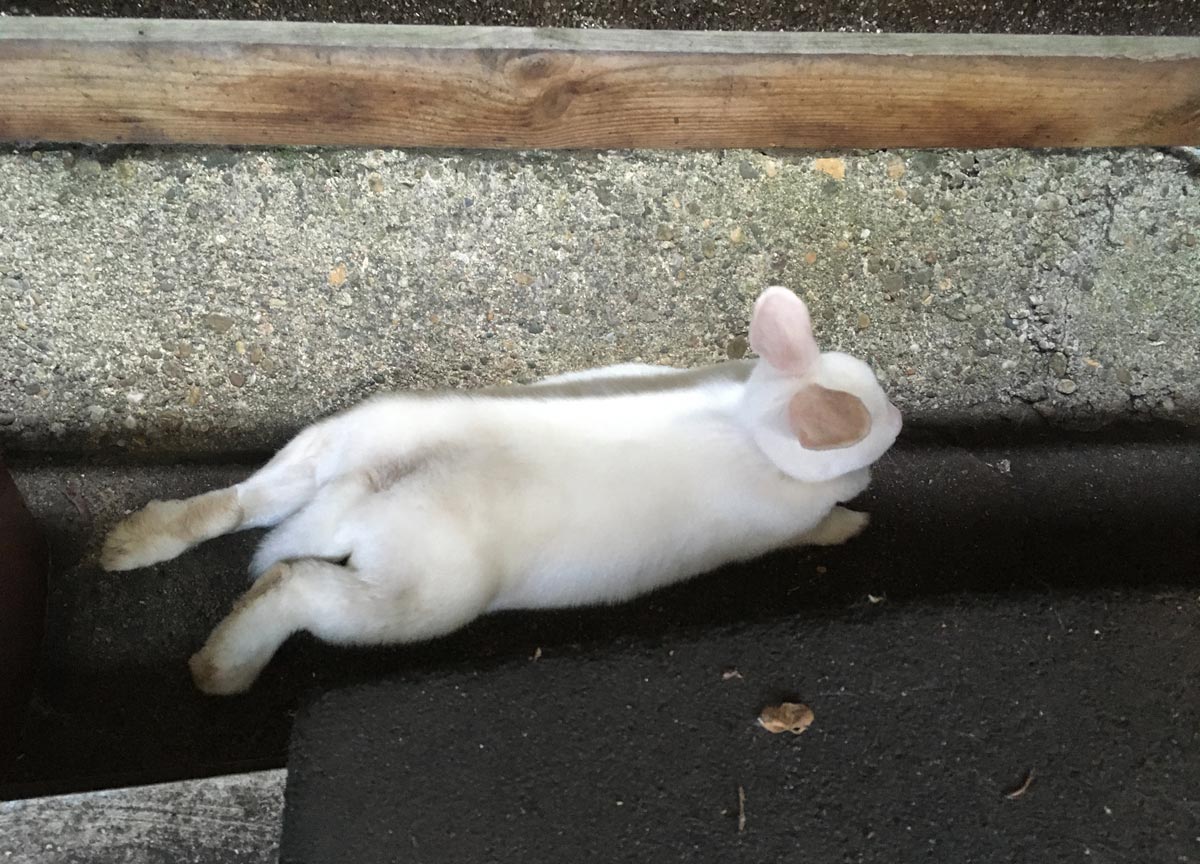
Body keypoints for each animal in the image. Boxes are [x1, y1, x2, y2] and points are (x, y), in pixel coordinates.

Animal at [100, 286, 902, 695]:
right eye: (885, 420)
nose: (898, 418)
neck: (754, 427)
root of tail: (369, 488)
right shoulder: (788, 520)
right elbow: (820, 525)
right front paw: (854, 523)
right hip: (414, 600)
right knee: (292, 586)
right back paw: (221, 671)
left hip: (323, 451)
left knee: (234, 506)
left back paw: (127, 545)